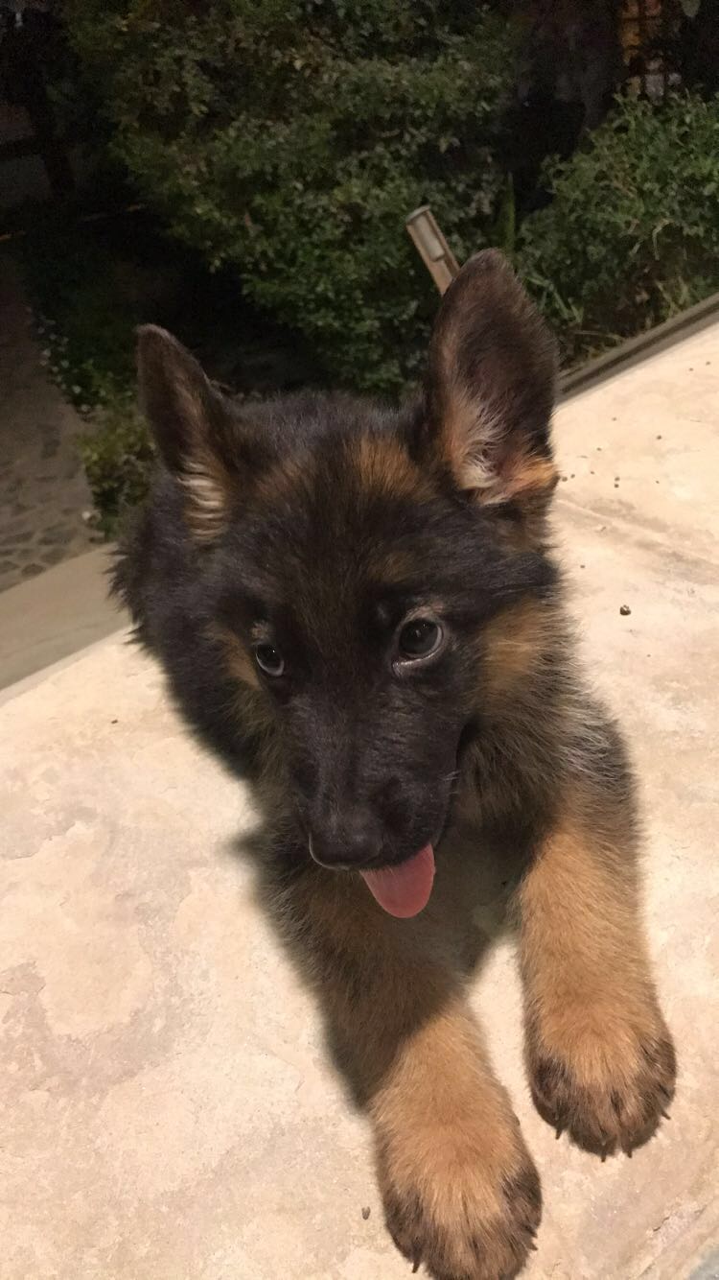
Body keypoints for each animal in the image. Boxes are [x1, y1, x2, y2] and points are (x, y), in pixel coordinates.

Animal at [114, 251, 675, 1279]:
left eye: (417, 638)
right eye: (271, 658)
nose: (344, 844)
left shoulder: (569, 744)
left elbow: (574, 874)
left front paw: (596, 1034)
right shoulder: (305, 855)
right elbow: (394, 986)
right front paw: (455, 1156)